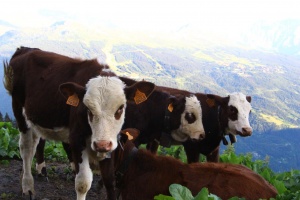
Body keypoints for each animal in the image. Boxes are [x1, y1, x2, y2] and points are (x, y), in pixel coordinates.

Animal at [3, 46, 155, 199]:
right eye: (87, 108)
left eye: (120, 108)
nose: (102, 144)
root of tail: (25, 49)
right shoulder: (76, 139)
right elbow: (83, 183)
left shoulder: (112, 143)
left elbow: (109, 181)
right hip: (19, 110)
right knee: (26, 148)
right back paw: (27, 186)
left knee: (37, 143)